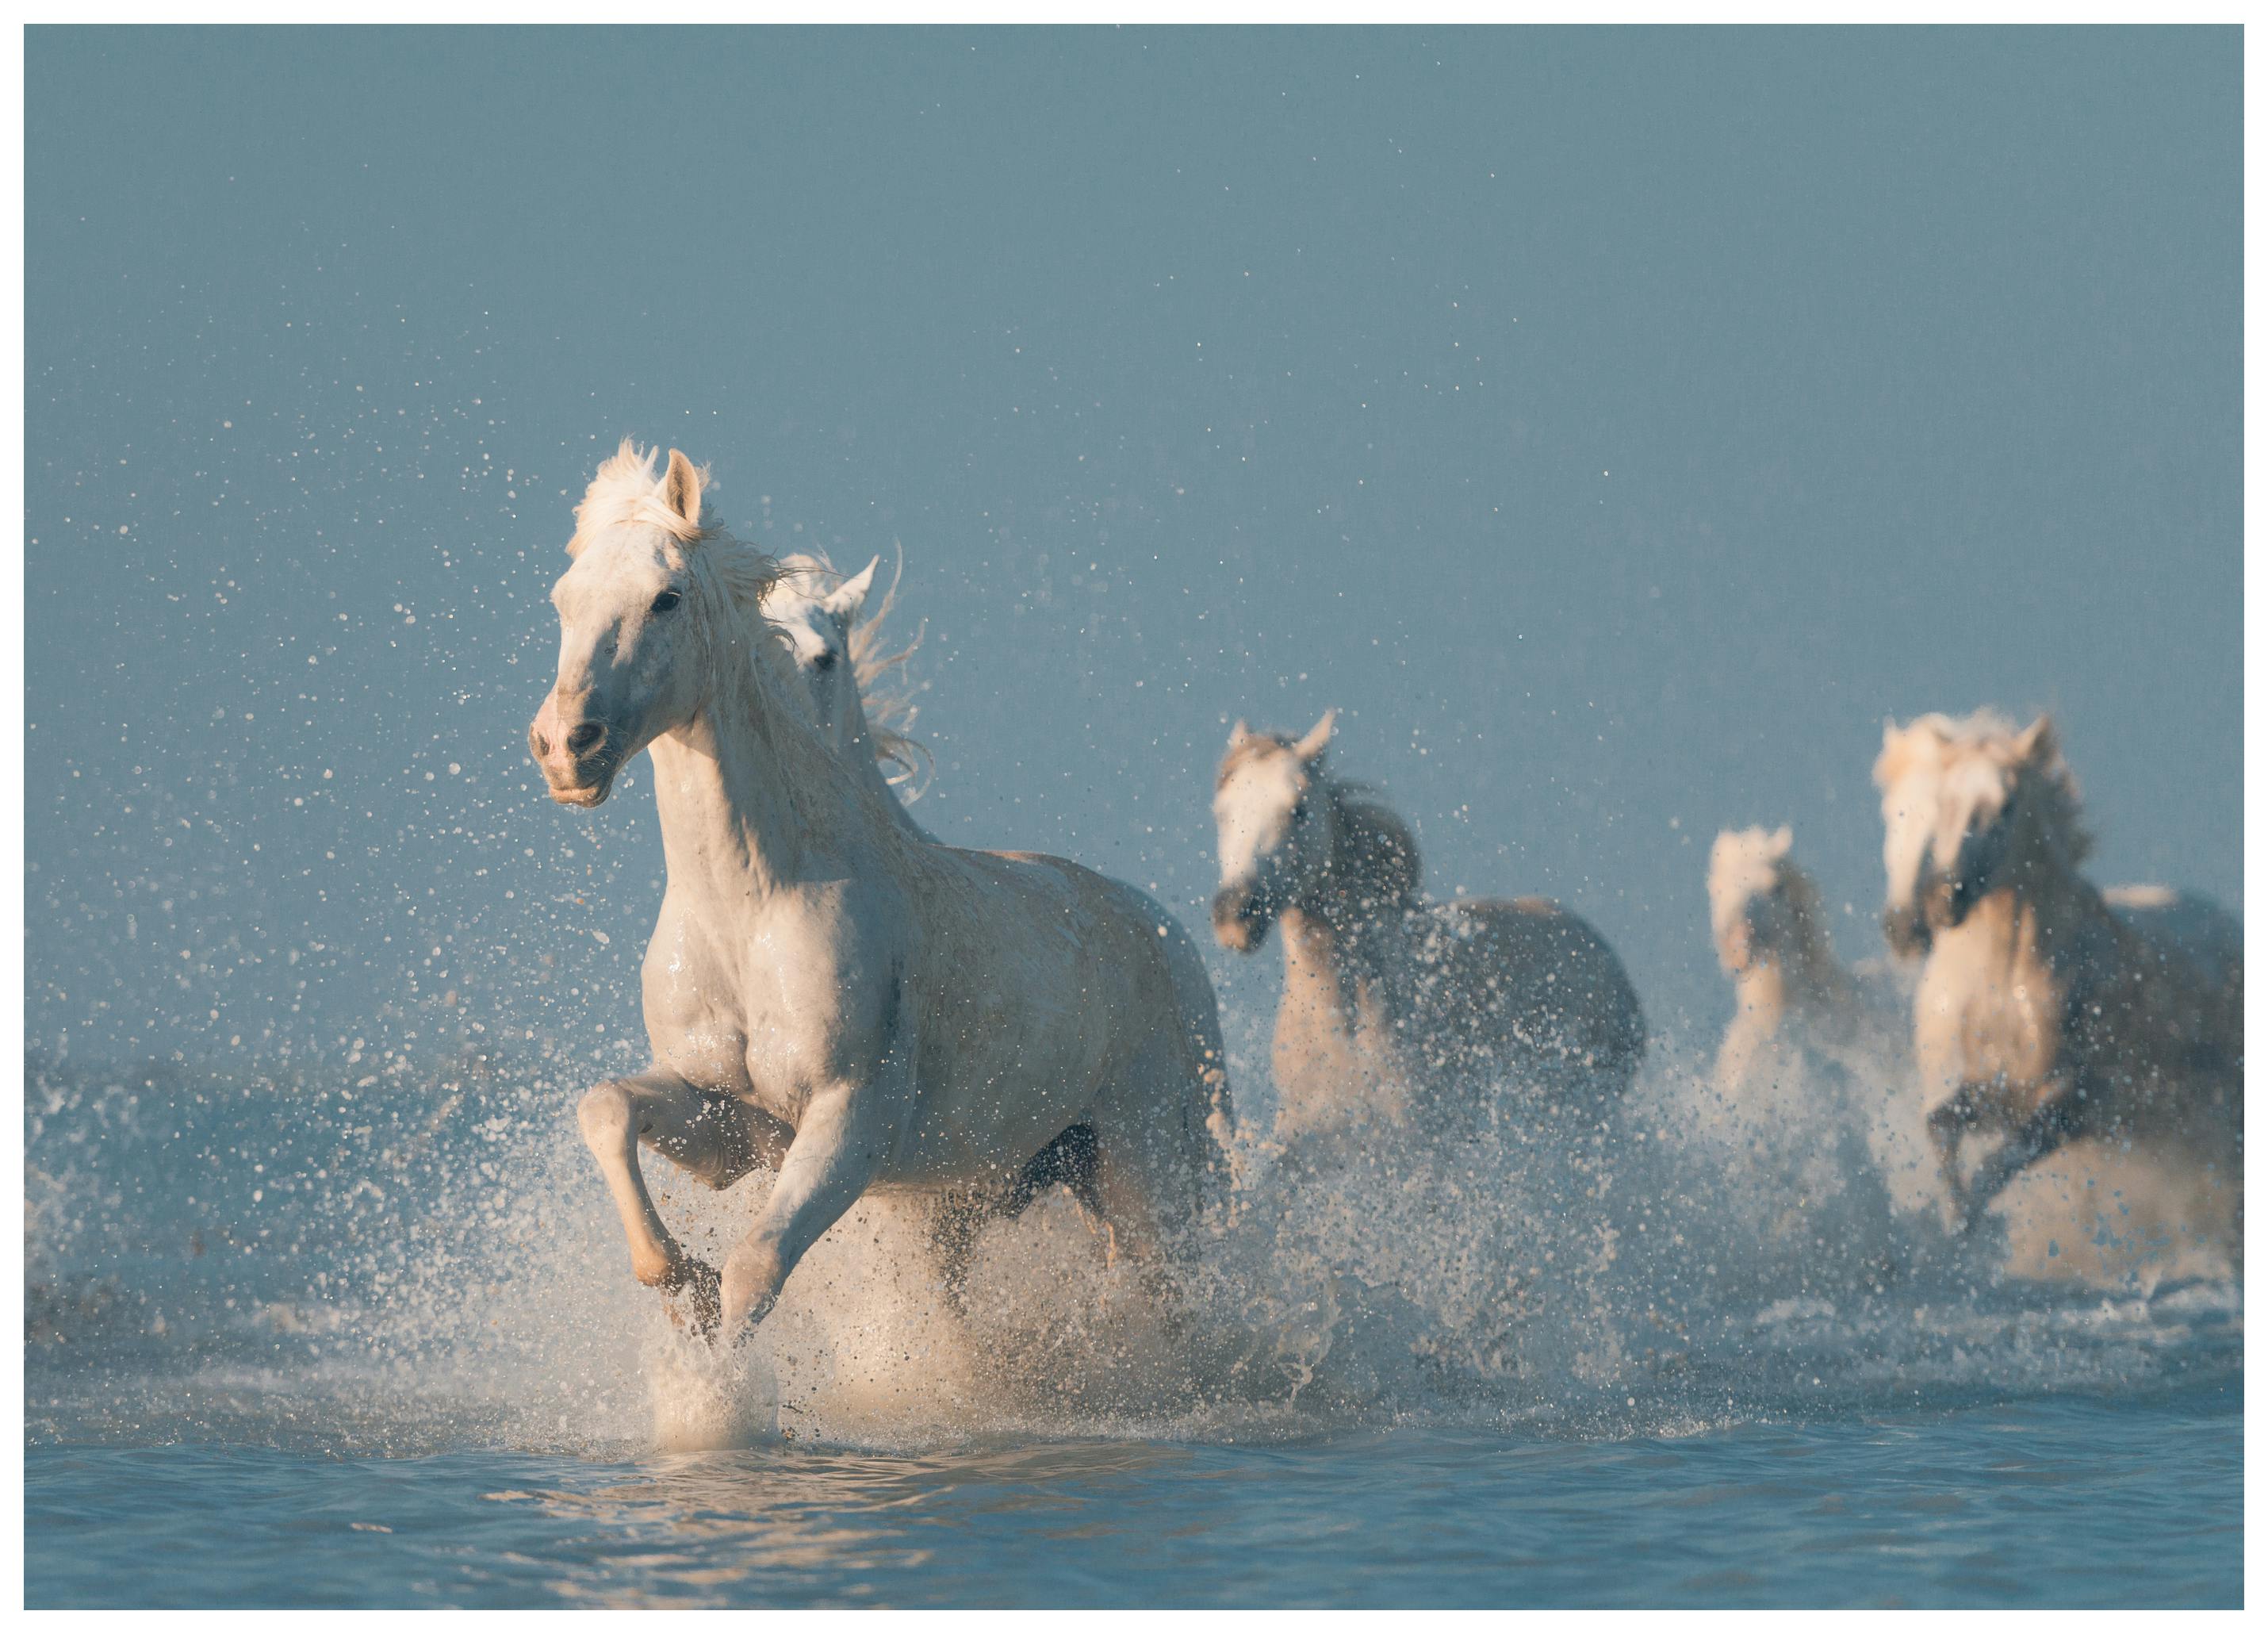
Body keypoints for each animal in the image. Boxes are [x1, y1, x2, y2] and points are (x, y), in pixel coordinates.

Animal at [1888, 712, 2242, 1235]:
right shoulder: (1981, 1091)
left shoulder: (2069, 1106)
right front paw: (1954, 1222)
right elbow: (1941, 1129)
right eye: (1945, 802)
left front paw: (1972, 1226)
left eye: (2006, 806)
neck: (1999, 984)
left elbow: (1999, 1162)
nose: (1943, 899)